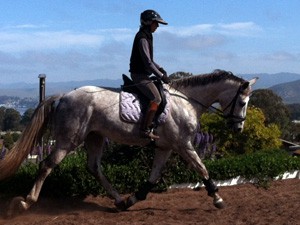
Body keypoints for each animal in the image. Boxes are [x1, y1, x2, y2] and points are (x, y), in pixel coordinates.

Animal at [0, 69, 258, 215]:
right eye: (242, 102)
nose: (238, 127)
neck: (186, 101)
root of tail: (64, 95)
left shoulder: (165, 147)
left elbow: (152, 179)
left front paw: (133, 200)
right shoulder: (183, 145)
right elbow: (202, 169)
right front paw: (218, 198)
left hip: (95, 137)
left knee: (94, 167)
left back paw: (119, 200)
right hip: (69, 139)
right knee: (47, 165)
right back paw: (26, 202)